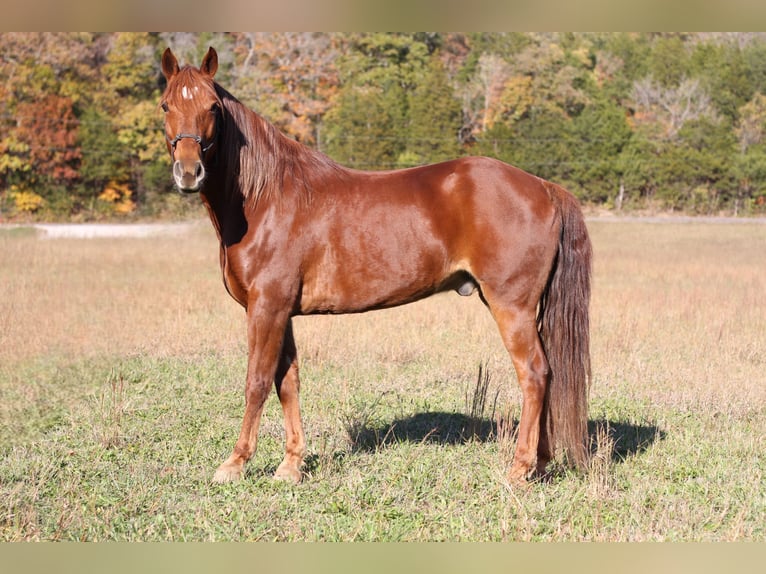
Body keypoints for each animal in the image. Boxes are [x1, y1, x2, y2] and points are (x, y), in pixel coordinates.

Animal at [159, 46, 592, 486]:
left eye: (213, 107)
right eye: (166, 105)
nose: (189, 172)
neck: (266, 198)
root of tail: (544, 187)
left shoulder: (266, 307)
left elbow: (258, 381)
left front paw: (235, 462)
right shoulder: (283, 312)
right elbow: (288, 382)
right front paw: (291, 464)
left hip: (511, 306)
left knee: (534, 374)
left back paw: (519, 468)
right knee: (550, 374)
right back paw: (541, 461)